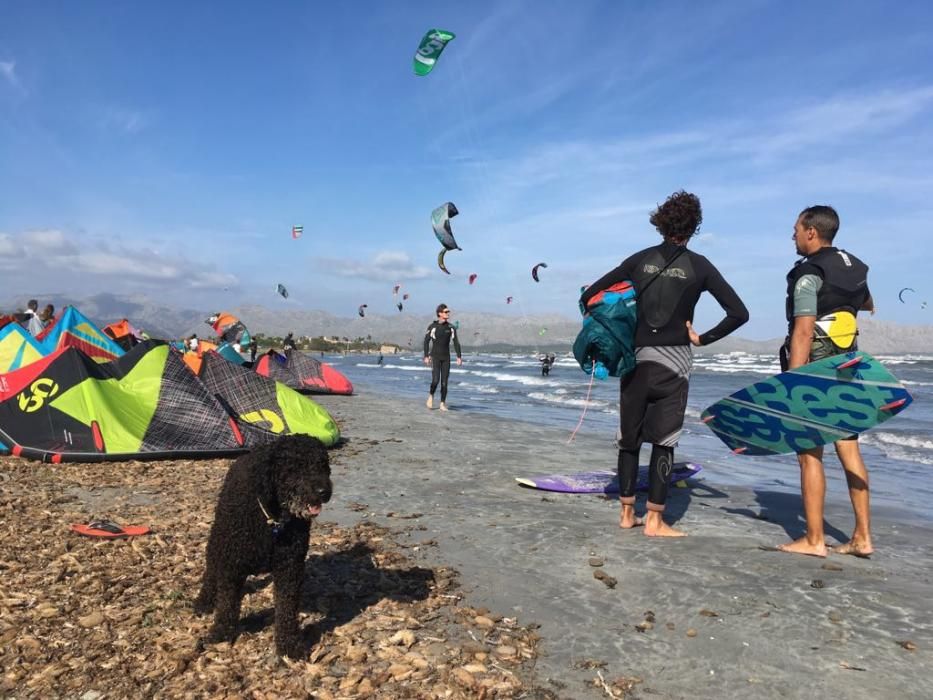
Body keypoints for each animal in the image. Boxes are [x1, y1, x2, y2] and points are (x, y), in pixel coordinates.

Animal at [193, 432, 332, 656]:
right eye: (295, 466)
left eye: (322, 464)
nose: (323, 491)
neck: (271, 520)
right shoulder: (231, 566)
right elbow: (227, 603)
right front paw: (222, 633)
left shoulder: (289, 568)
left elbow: (286, 608)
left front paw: (289, 643)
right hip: (218, 541)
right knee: (211, 569)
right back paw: (204, 601)